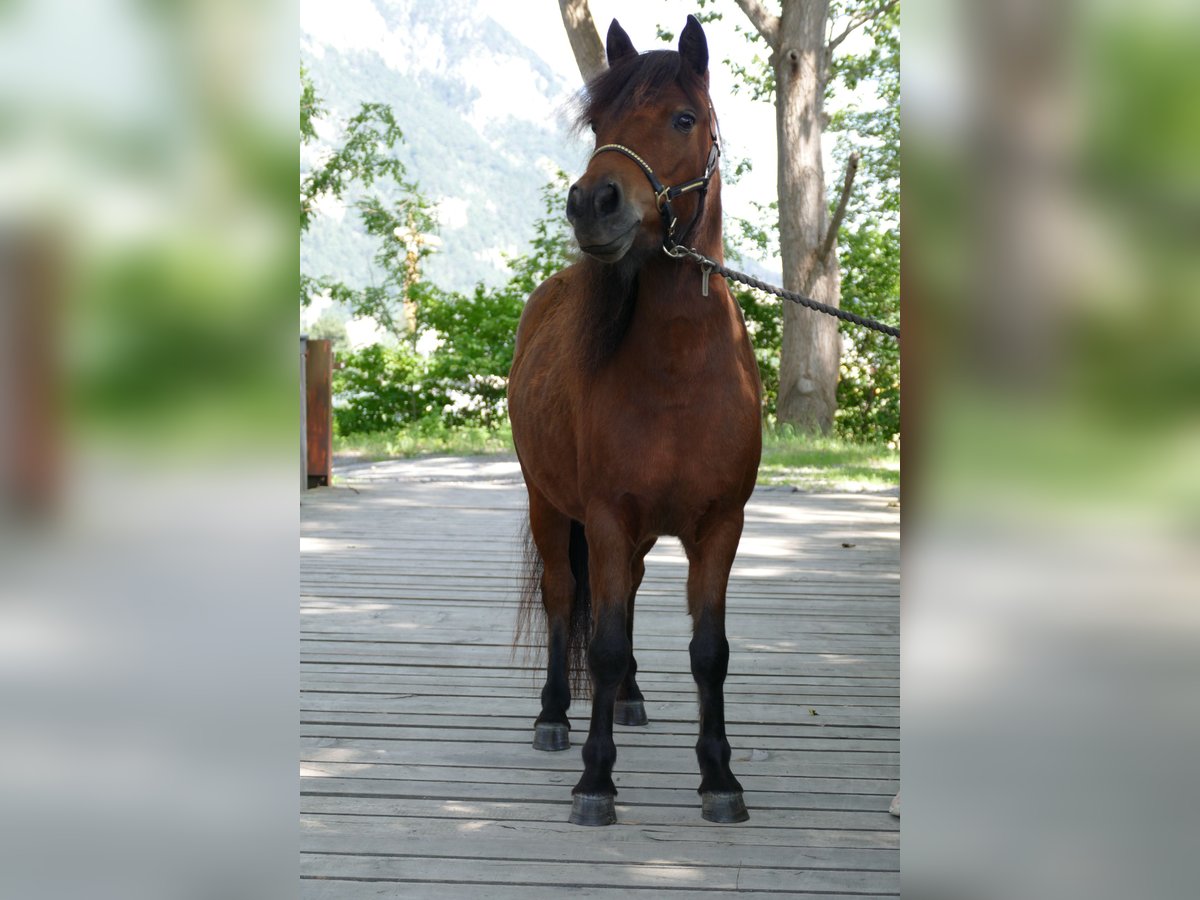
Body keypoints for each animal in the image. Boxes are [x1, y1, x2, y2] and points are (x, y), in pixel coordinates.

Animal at [506, 15, 758, 830]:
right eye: (600, 125)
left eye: (682, 119)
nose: (594, 203)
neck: (678, 374)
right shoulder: (608, 519)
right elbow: (606, 641)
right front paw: (595, 778)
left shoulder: (720, 526)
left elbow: (710, 652)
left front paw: (719, 778)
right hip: (550, 508)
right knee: (563, 599)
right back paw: (556, 714)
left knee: (635, 595)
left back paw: (632, 700)